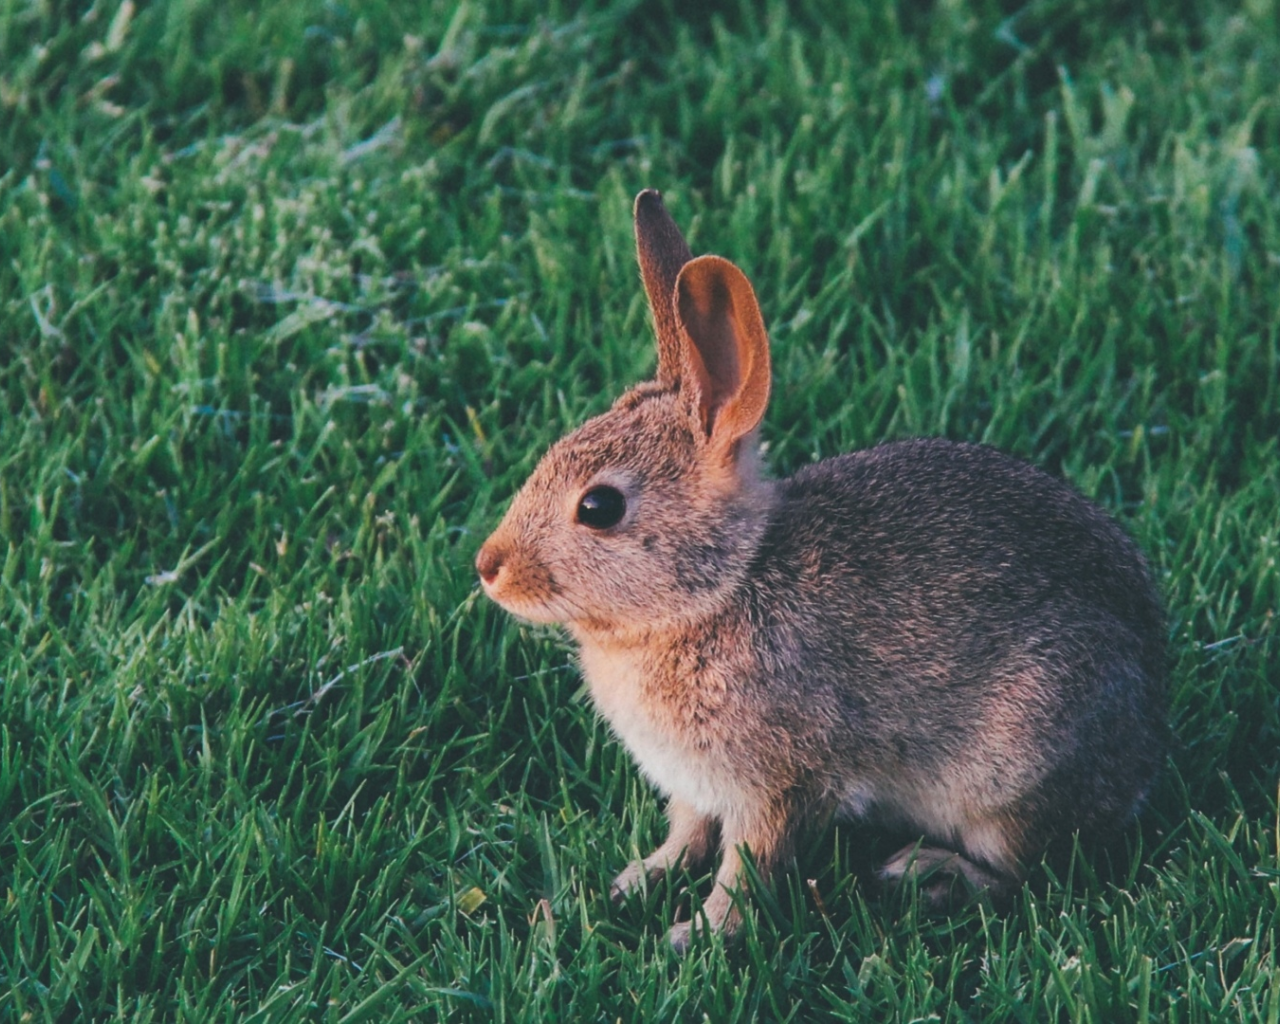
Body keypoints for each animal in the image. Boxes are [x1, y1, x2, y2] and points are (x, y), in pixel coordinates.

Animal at [476, 189, 1167, 952]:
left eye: (599, 507)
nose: (489, 568)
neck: (719, 589)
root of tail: (1148, 737)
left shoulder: (776, 784)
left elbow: (746, 866)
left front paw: (696, 936)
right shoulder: (694, 784)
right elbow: (686, 835)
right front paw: (637, 881)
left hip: (1010, 774)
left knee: (1017, 870)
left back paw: (924, 873)